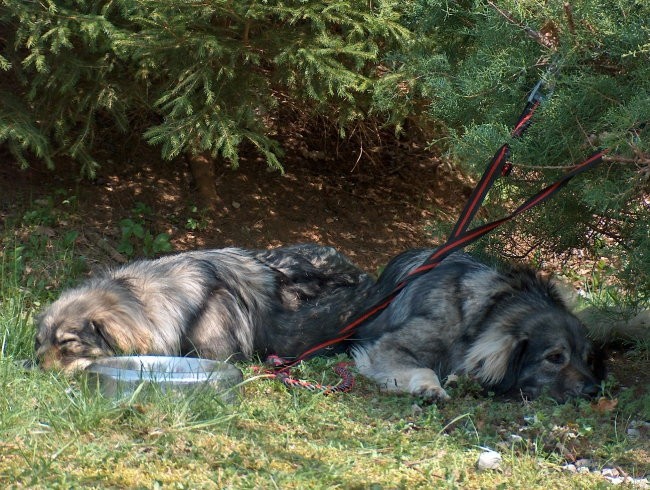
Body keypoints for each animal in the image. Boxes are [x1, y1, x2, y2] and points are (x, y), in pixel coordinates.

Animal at [350, 251, 604, 404]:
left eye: (587, 359)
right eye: (554, 358)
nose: (594, 391)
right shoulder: (390, 346)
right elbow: (425, 369)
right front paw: (430, 388)